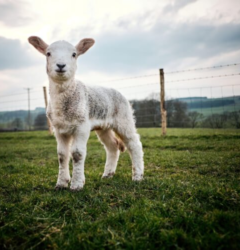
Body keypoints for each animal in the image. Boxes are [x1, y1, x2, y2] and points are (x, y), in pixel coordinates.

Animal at [28, 35, 144, 191]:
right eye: (48, 53)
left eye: (74, 54)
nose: (61, 65)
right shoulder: (59, 129)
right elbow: (62, 155)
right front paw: (61, 183)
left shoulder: (82, 126)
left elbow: (77, 154)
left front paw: (77, 184)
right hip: (104, 126)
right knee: (112, 146)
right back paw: (107, 174)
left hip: (124, 118)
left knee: (134, 144)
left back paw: (137, 176)